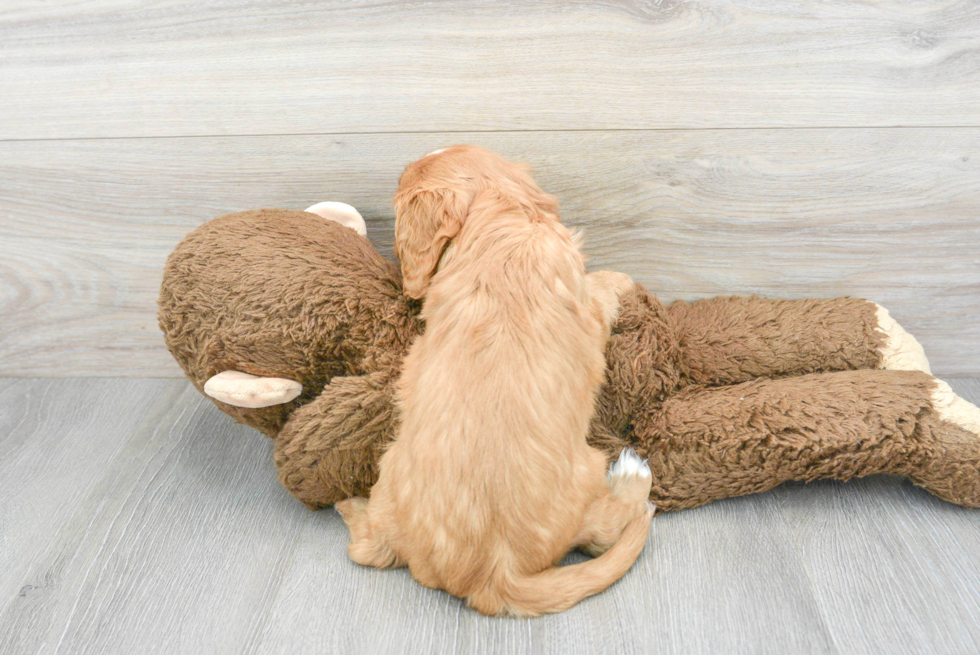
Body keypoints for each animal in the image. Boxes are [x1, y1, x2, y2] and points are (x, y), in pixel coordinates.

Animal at [336, 146, 652, 616]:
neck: (499, 221)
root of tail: (493, 575)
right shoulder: (587, 304)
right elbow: (600, 290)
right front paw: (622, 279)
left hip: (389, 471)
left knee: (369, 548)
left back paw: (349, 504)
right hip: (589, 473)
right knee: (604, 533)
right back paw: (635, 476)